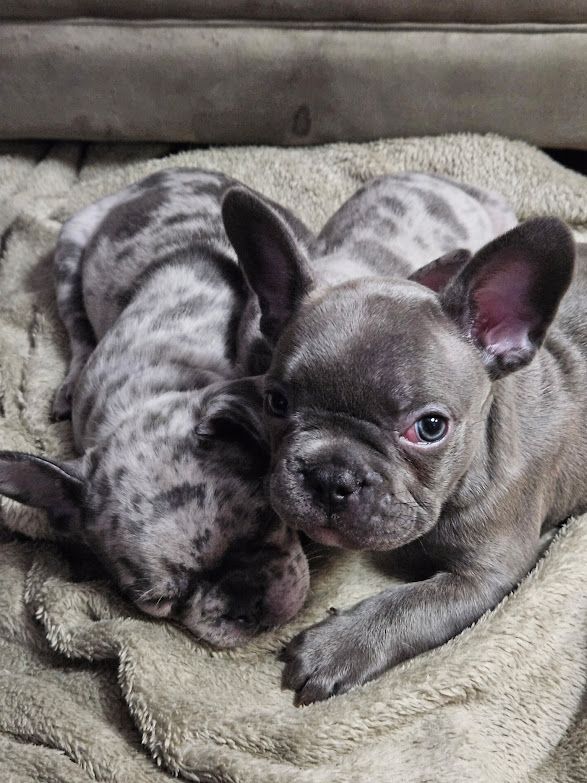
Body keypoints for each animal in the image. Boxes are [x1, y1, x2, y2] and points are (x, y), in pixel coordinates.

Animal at [0, 168, 311, 647]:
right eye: (159, 602)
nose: (247, 608)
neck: (148, 395)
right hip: (70, 254)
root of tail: (160, 174)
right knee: (77, 328)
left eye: (267, 521)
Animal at [222, 172, 578, 702]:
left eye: (429, 427)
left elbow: (410, 606)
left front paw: (336, 647)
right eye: (277, 403)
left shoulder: (484, 578)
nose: (332, 476)